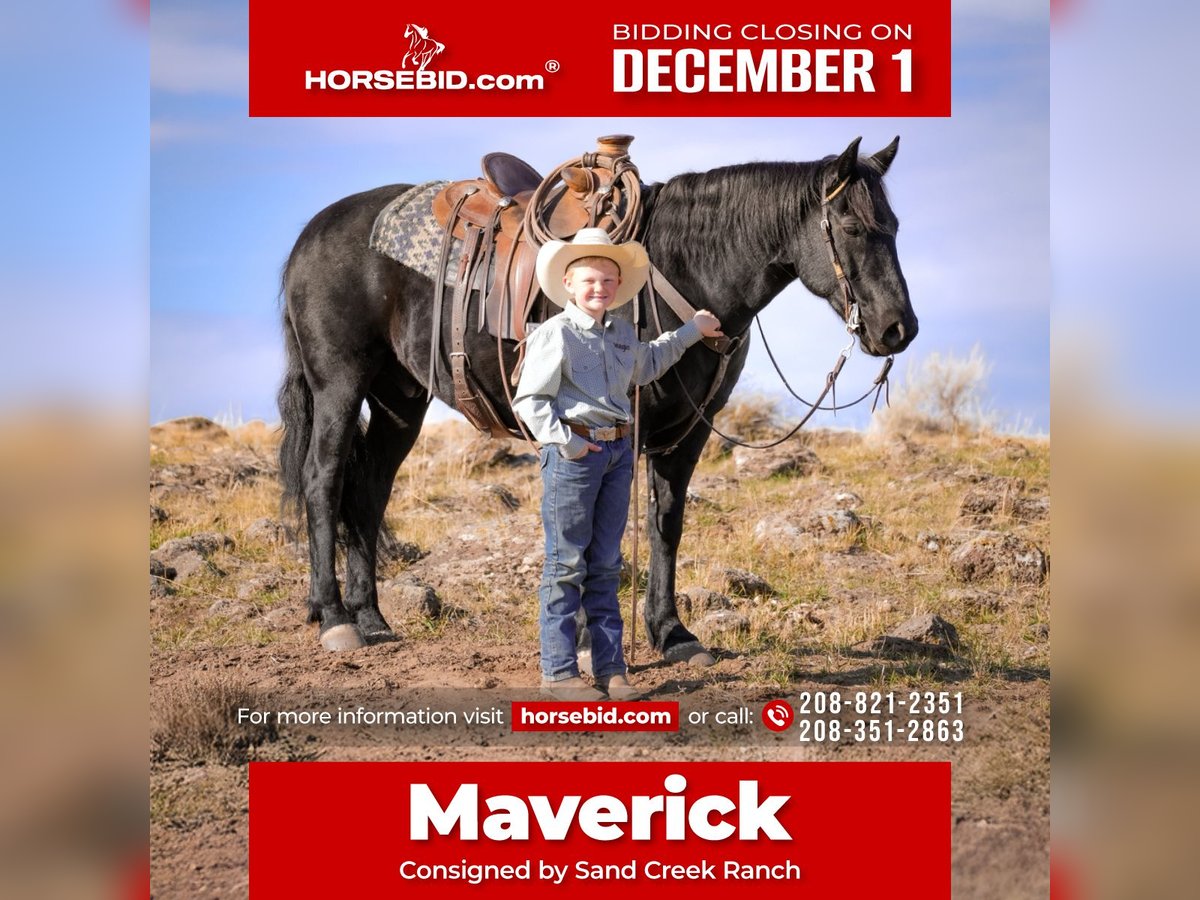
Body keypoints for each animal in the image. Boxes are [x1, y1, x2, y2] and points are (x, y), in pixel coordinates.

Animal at [277, 136, 918, 657]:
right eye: (854, 228)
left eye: (895, 226)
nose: (898, 330)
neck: (680, 268)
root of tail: (312, 232)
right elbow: (587, 530)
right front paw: (588, 639)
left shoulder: (687, 431)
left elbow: (665, 524)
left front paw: (672, 633)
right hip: (339, 384)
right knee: (324, 479)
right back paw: (335, 618)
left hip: (400, 400)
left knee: (368, 491)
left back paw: (372, 619)